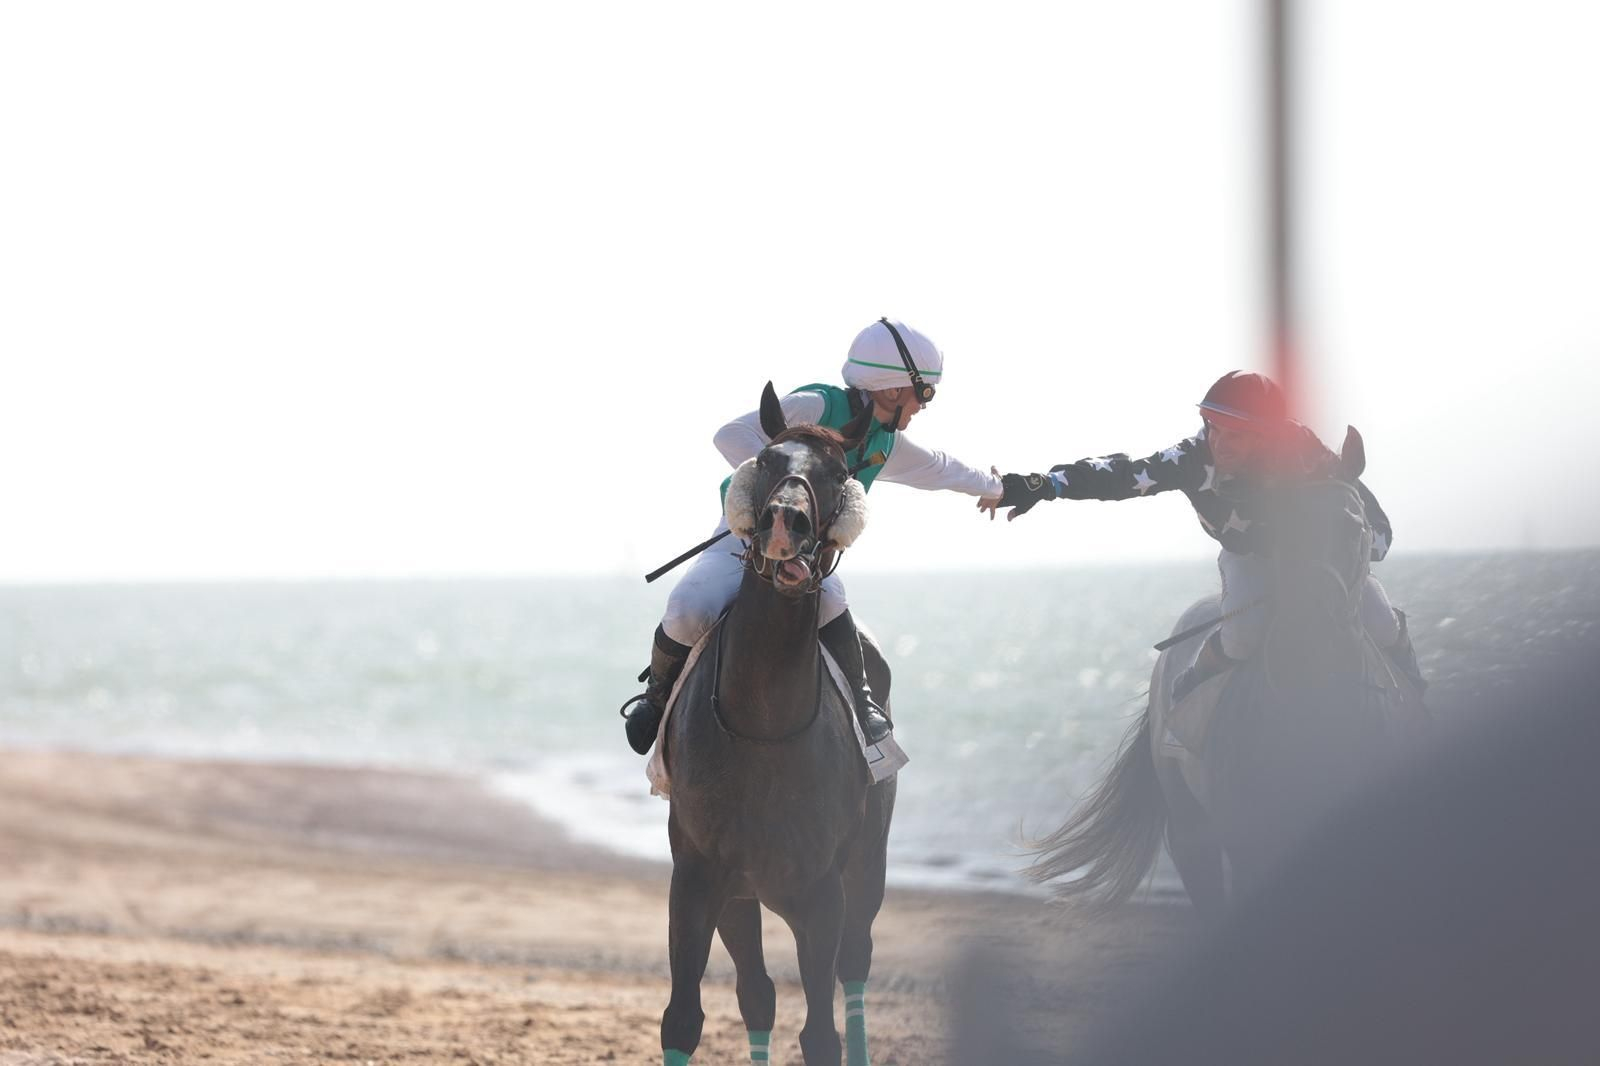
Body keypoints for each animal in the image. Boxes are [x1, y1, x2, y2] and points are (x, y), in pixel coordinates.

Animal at [658, 383, 896, 1066]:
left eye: (841, 472)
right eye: (766, 461)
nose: (786, 523)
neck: (761, 725)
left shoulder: (821, 894)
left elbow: (821, 1033)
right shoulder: (701, 881)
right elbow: (684, 1018)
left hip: (868, 864)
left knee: (855, 965)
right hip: (744, 898)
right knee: (757, 994)